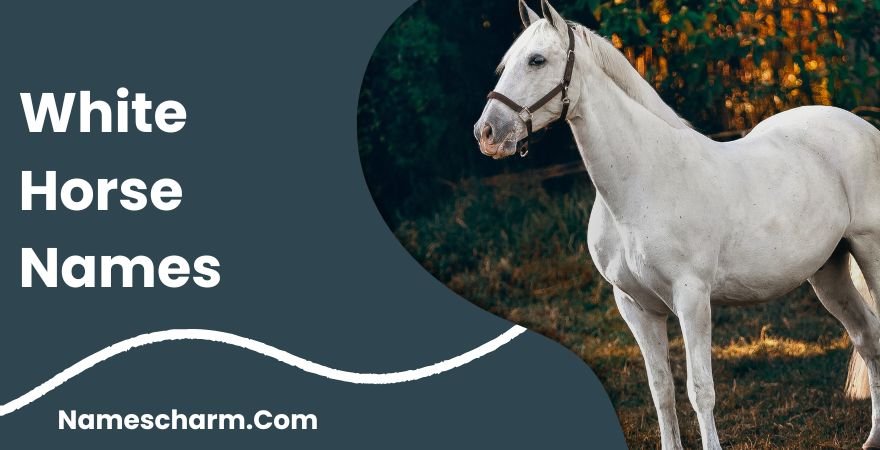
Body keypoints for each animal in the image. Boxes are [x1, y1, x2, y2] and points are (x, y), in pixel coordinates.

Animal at [474, 1, 880, 449]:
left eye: (537, 60)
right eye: (506, 63)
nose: (487, 133)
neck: (642, 182)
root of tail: (862, 127)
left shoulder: (691, 298)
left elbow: (700, 390)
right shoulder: (636, 307)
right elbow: (661, 390)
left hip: (870, 251)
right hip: (828, 271)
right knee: (867, 339)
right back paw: (873, 437)